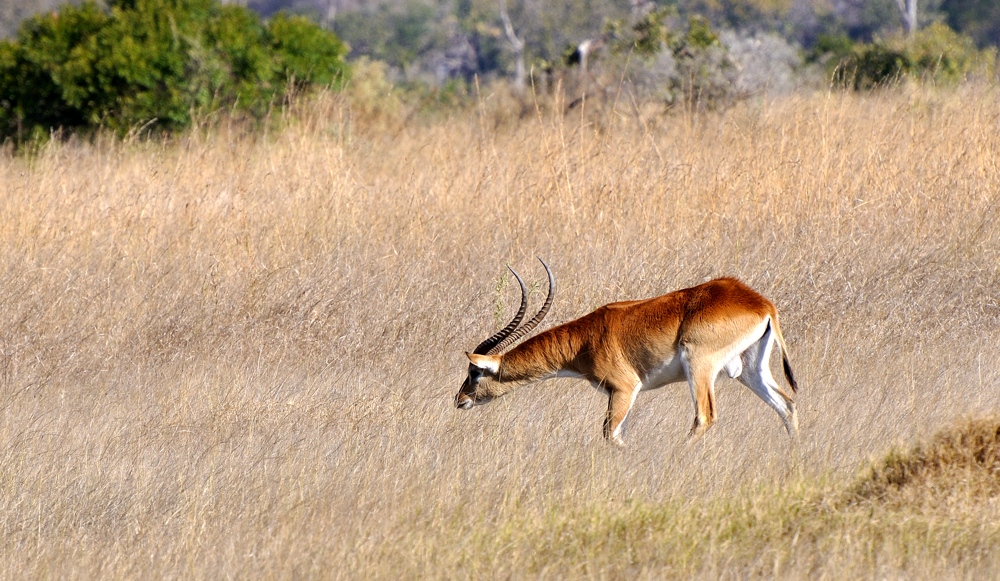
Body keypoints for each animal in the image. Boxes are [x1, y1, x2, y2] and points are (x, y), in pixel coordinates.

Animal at [458, 258, 800, 444]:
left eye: (474, 371)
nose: (459, 400)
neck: (586, 339)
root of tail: (761, 304)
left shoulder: (624, 389)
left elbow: (611, 434)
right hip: (749, 369)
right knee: (787, 404)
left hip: (699, 366)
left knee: (705, 416)